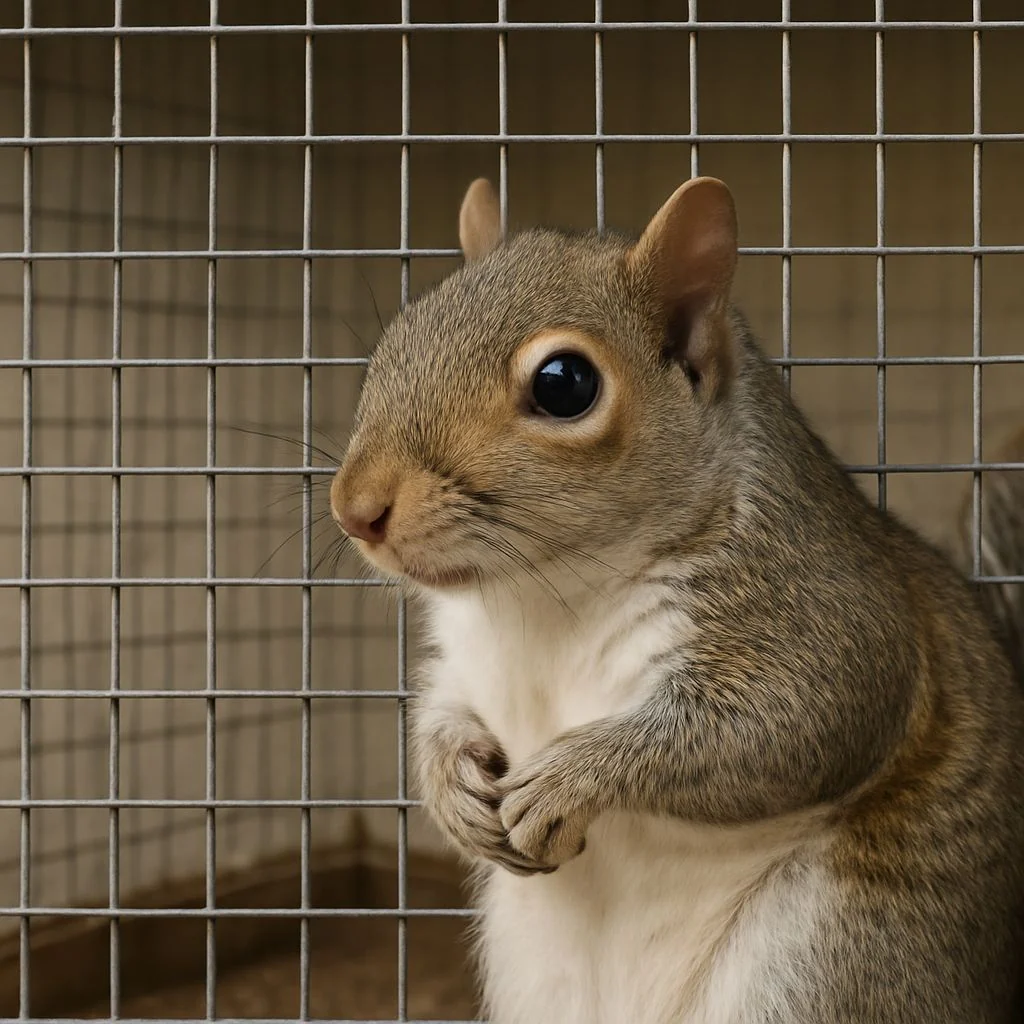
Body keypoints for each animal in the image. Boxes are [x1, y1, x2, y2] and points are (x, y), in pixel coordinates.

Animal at [330, 176, 1024, 1024]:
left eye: (565, 384)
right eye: (396, 336)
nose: (354, 508)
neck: (538, 597)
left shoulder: (823, 611)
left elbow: (787, 723)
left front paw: (568, 778)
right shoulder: (465, 658)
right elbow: (441, 709)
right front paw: (451, 786)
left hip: (831, 965)